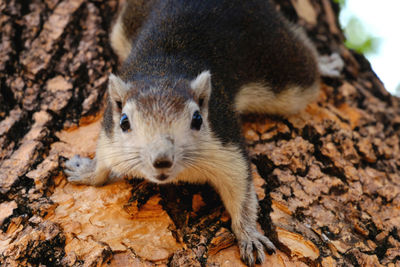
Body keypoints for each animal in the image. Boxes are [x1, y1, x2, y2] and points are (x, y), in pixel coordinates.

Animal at [65, 0, 324, 266]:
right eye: (124, 122)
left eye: (198, 119)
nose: (162, 160)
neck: (164, 74)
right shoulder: (110, 138)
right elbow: (103, 163)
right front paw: (86, 171)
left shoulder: (226, 145)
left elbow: (240, 191)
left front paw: (249, 235)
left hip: (280, 66)